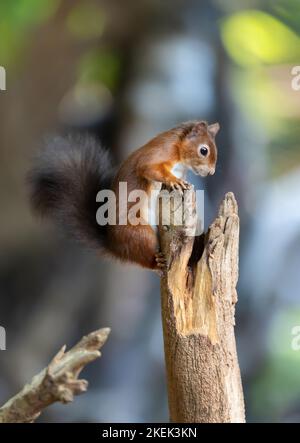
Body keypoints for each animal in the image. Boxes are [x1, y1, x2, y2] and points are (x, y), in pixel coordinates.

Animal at [28, 121, 218, 274]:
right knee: (144, 258)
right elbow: (149, 168)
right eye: (203, 150)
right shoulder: (160, 152)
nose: (211, 172)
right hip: (139, 233)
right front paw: (174, 180)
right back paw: (156, 263)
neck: (179, 149)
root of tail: (114, 246)